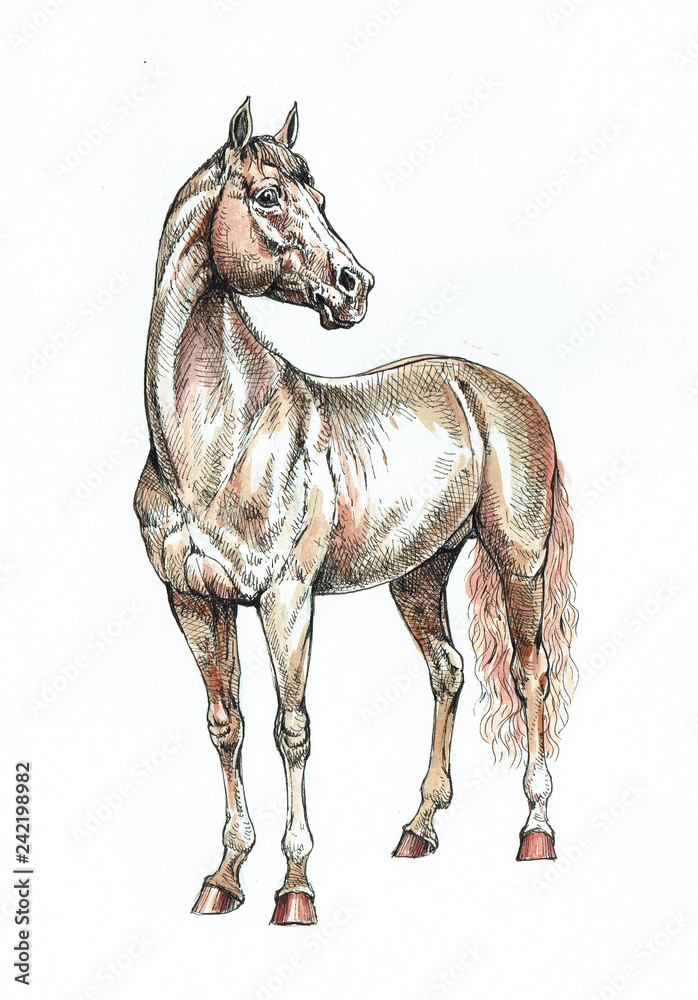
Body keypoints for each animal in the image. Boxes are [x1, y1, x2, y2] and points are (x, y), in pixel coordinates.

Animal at [134, 97, 577, 926]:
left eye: (319, 196)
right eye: (268, 197)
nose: (354, 284)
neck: (215, 441)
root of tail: (499, 390)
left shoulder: (286, 600)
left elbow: (292, 729)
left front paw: (294, 888)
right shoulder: (195, 602)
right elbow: (226, 725)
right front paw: (224, 877)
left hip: (518, 561)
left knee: (530, 673)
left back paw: (536, 828)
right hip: (417, 575)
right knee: (448, 670)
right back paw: (418, 828)